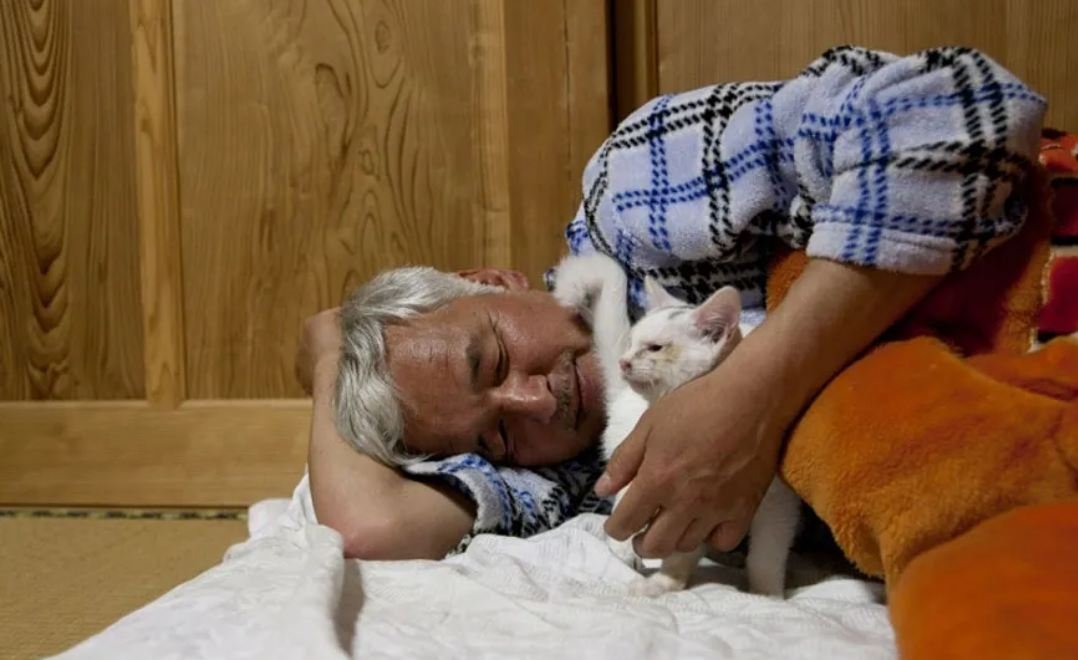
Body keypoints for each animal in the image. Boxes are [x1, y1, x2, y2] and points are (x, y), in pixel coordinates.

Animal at [556, 252, 802, 599]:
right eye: (630, 343)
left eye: (655, 348)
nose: (623, 362)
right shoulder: (678, 496)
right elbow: (679, 550)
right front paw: (665, 582)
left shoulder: (778, 502)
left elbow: (767, 553)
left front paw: (767, 595)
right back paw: (625, 549)